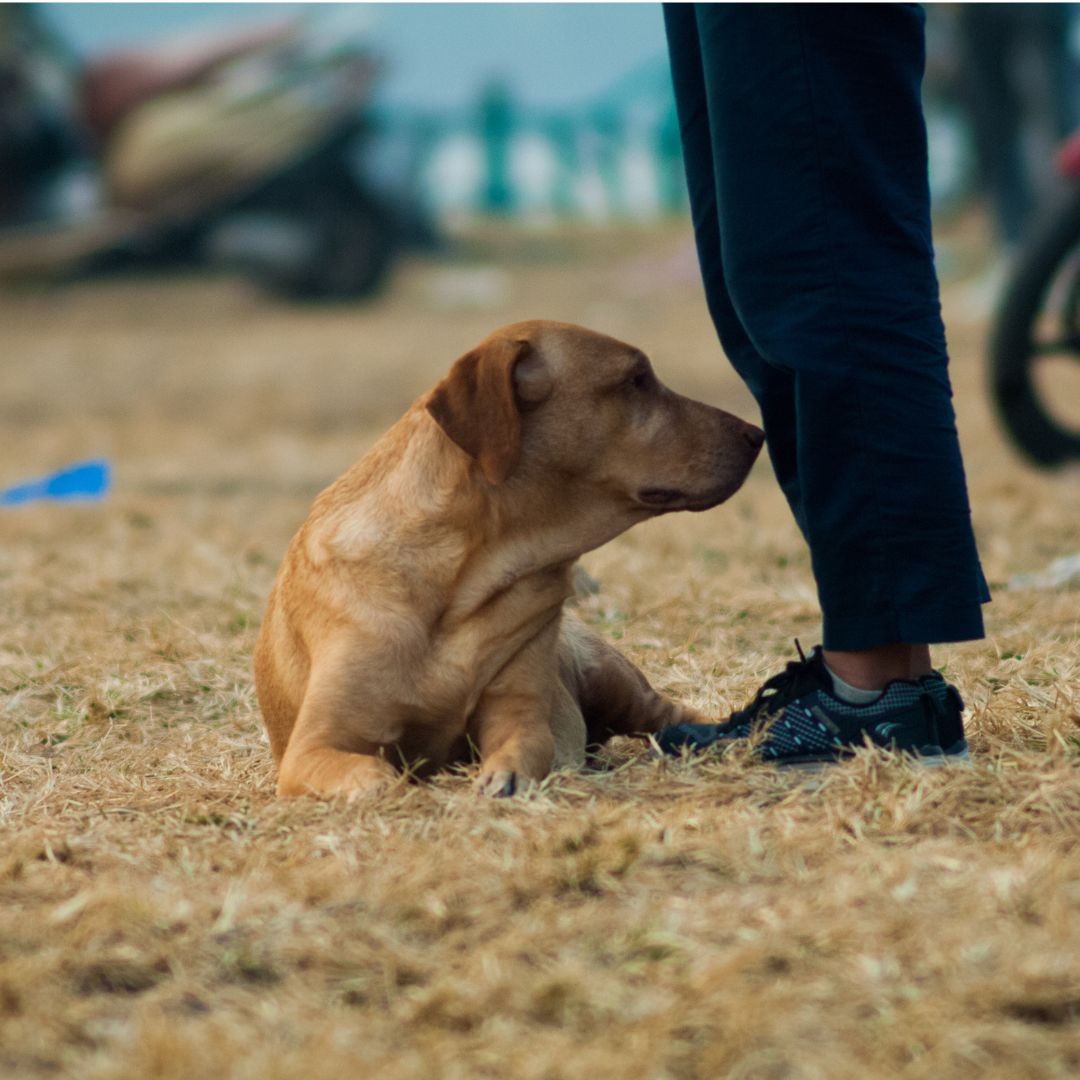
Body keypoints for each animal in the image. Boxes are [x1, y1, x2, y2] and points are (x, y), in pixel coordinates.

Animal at [253, 315, 764, 799]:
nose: (758, 433)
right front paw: (385, 783)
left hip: (615, 680)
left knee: (674, 714)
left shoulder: (519, 713)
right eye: (636, 379)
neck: (460, 582)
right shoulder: (314, 745)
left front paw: (506, 778)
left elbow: (524, 744)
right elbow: (368, 769)